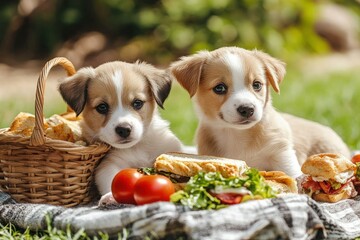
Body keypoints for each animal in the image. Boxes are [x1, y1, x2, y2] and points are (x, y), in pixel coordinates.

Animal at [59, 60, 184, 199]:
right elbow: (112, 178)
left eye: (137, 103)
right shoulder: (108, 164)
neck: (137, 147)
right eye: (102, 107)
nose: (124, 130)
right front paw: (109, 196)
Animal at [170, 47, 350, 178]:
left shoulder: (282, 154)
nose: (247, 109)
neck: (238, 136)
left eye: (257, 85)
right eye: (219, 88)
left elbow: (294, 177)